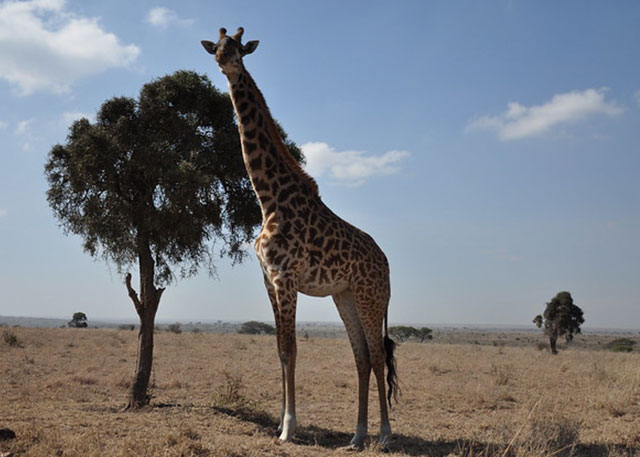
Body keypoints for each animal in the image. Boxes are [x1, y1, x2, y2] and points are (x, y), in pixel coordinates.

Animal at [201, 27, 398, 449]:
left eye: (239, 49)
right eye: (217, 46)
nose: (225, 61)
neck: (267, 197)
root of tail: (387, 265)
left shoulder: (285, 277)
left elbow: (291, 350)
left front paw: (289, 428)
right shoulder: (268, 280)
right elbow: (280, 350)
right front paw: (281, 422)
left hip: (371, 296)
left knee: (376, 356)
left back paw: (386, 436)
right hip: (345, 296)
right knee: (361, 357)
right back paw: (357, 436)